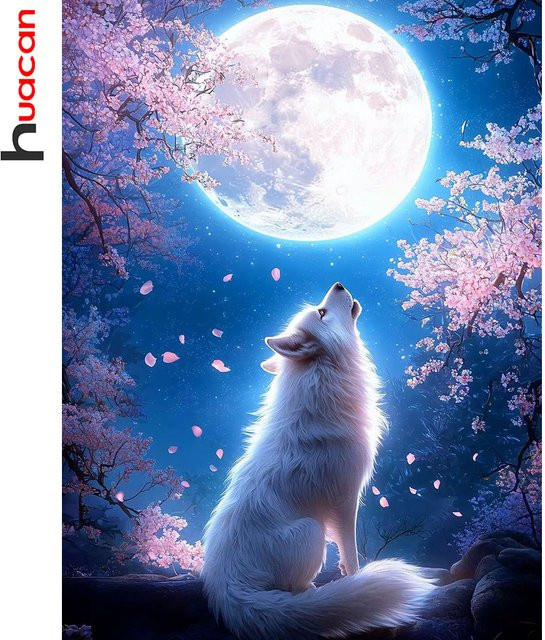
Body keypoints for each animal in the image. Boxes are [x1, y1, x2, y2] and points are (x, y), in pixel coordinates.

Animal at [202, 283, 433, 639]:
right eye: (322, 313)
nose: (338, 285)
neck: (323, 384)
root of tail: (225, 590)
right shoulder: (345, 500)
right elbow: (351, 552)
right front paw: (356, 580)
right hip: (312, 530)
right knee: (290, 589)